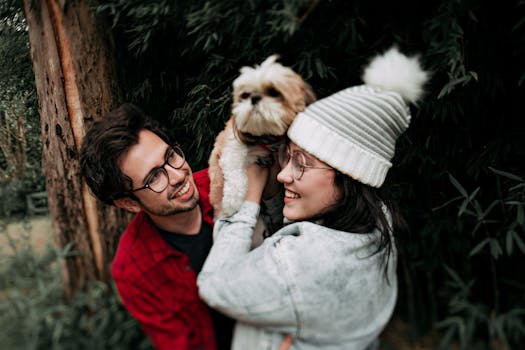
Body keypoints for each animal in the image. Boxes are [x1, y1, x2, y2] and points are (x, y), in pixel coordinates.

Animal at [208, 54, 316, 219]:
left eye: (274, 92)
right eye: (245, 95)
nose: (254, 98)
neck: (266, 137)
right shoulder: (231, 147)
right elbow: (235, 172)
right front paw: (232, 202)